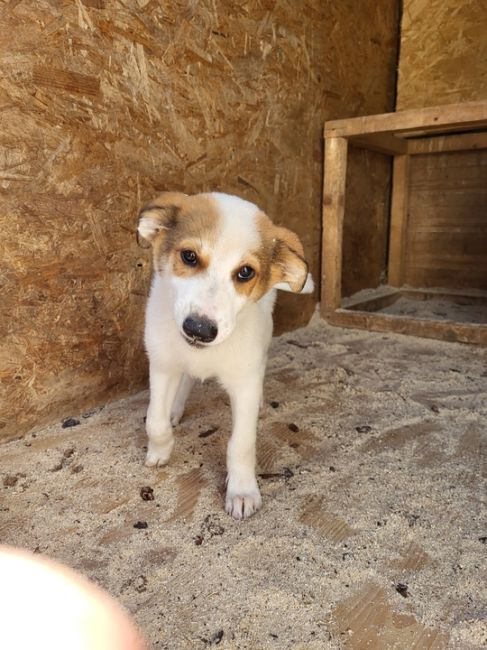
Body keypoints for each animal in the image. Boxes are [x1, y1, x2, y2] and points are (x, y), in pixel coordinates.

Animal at [137, 191, 314, 516]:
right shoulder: (162, 364)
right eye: (189, 256)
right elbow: (155, 421)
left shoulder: (243, 383)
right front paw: (159, 450)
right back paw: (175, 408)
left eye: (245, 272)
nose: (199, 329)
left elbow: (241, 445)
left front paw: (241, 491)